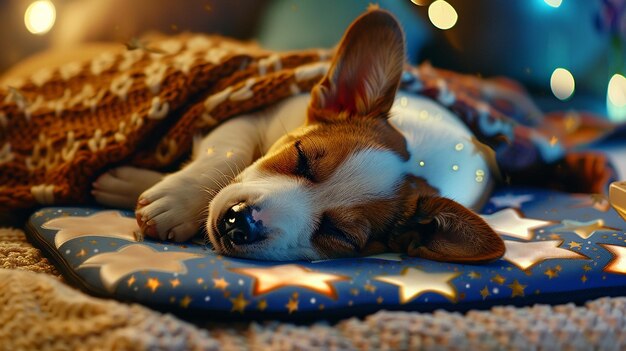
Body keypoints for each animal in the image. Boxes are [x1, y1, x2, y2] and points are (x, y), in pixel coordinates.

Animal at [92, 8, 504, 264]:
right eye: (300, 155)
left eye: (338, 234)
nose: (239, 222)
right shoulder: (255, 111)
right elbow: (228, 155)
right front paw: (174, 201)